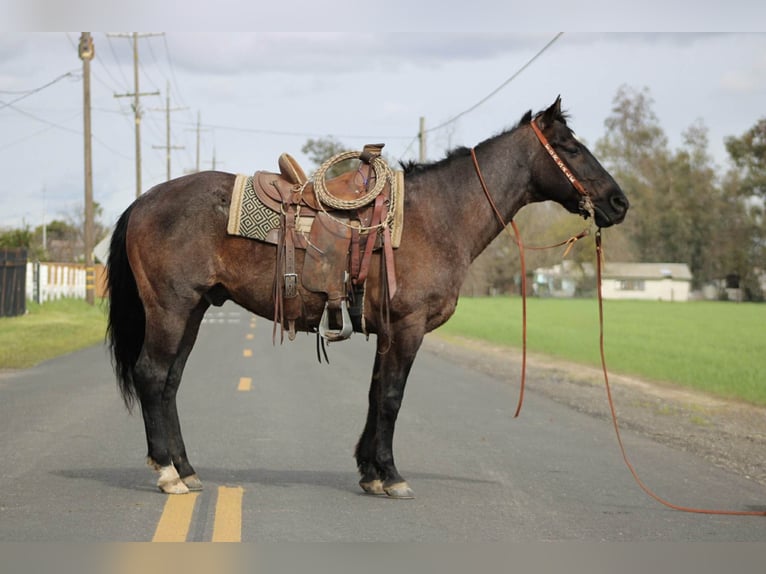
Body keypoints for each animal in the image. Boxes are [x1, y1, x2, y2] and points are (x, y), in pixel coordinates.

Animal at [106, 97, 629, 498]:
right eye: (571, 148)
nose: (619, 202)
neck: (435, 217)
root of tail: (142, 201)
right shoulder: (408, 328)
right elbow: (393, 398)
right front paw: (392, 476)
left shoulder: (388, 331)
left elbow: (377, 394)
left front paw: (370, 472)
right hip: (170, 310)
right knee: (152, 375)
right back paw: (168, 473)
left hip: (193, 311)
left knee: (170, 383)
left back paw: (186, 469)